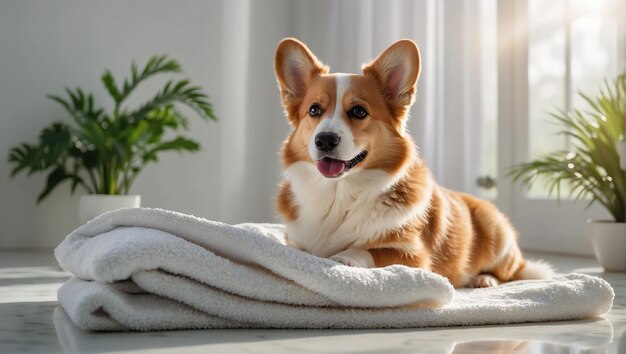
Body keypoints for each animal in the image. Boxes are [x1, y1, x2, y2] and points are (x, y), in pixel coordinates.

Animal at [272, 38, 552, 288]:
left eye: (359, 111)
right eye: (314, 110)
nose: (325, 140)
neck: (338, 193)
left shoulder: (414, 256)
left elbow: (368, 250)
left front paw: (343, 258)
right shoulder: (295, 242)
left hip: (498, 236)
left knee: (511, 272)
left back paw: (485, 279)